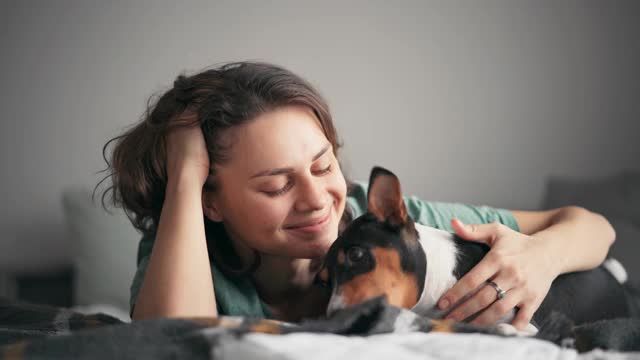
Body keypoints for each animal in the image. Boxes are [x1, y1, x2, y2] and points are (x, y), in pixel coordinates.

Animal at [318, 166, 636, 334]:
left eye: (356, 255)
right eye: (323, 282)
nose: (332, 321)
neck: (440, 284)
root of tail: (613, 276)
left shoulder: (526, 324)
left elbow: (502, 328)